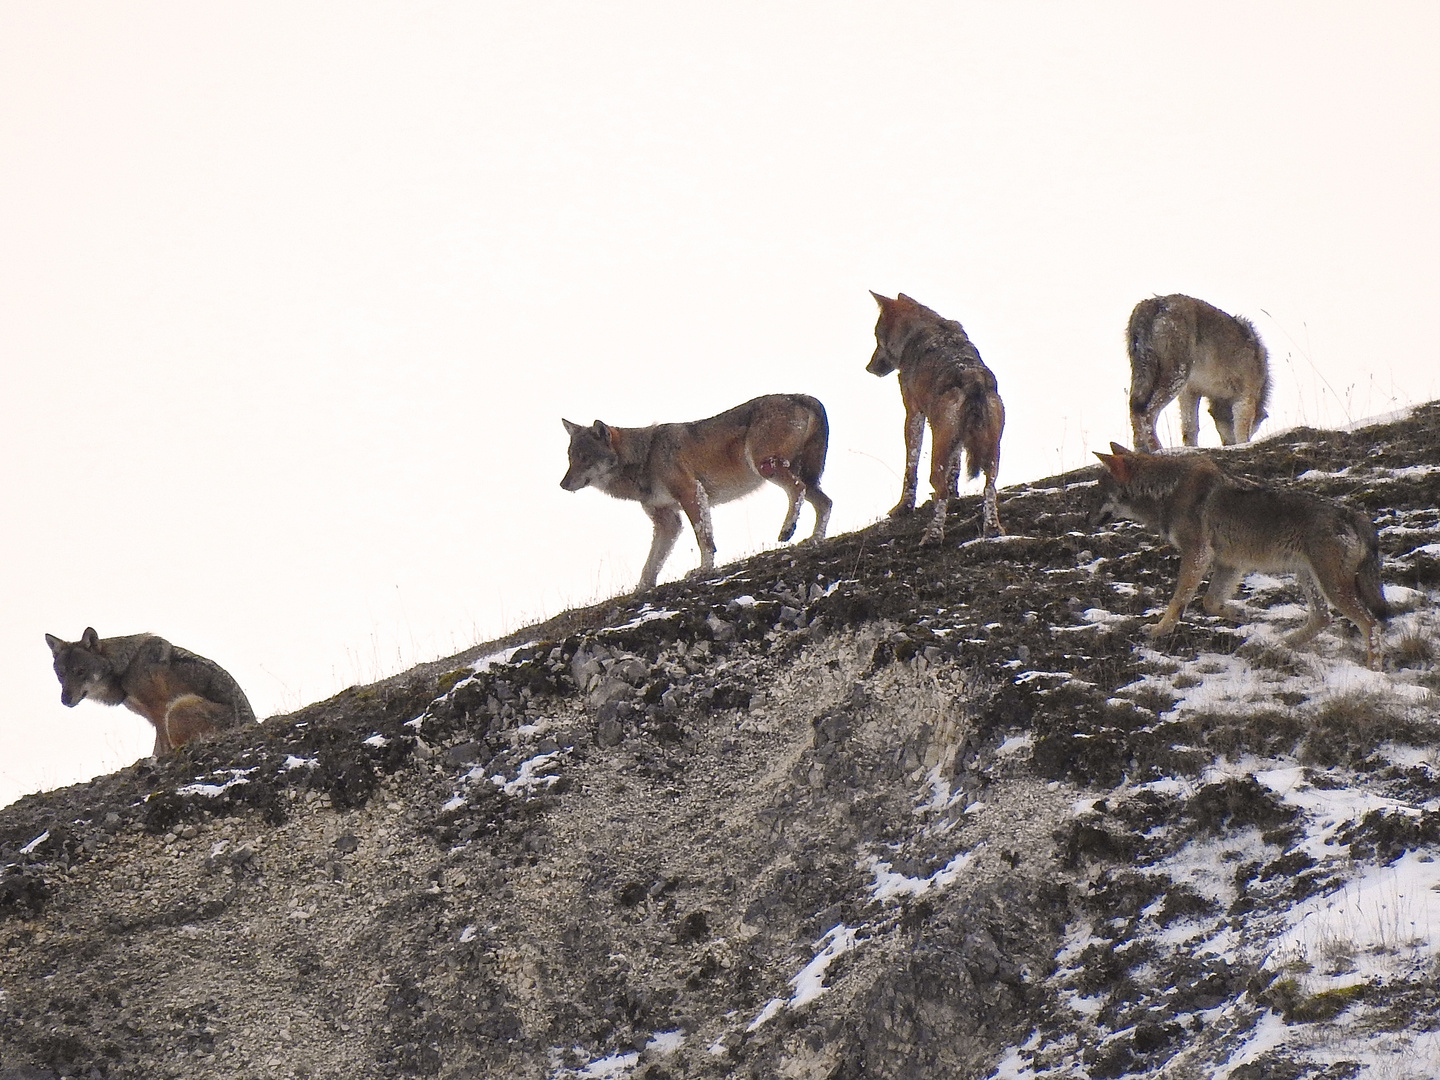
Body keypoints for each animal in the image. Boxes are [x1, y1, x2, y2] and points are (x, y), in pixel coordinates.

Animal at [42, 630, 256, 754]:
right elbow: (156, 748)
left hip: (177, 708)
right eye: (61, 674)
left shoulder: (160, 709)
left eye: (80, 671)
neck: (127, 666)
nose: (65, 699)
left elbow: (163, 748)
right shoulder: (153, 718)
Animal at [558, 394, 835, 593]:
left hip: (767, 467)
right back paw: (814, 539)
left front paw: (703, 571)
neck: (646, 456)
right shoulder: (667, 521)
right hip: (801, 476)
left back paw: (788, 530)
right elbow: (651, 563)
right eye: (571, 458)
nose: (562, 484)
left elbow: (705, 539)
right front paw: (641, 589)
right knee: (826, 502)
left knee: (798, 490)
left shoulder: (691, 493)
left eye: (585, 457)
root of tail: (803, 396)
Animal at [864, 292, 1002, 544]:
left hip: (939, 448)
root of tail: (973, 379)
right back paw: (993, 530)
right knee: (990, 487)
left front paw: (903, 507)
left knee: (939, 489)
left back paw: (932, 537)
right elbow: (955, 468)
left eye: (878, 337)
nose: (869, 367)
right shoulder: (956, 440)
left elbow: (911, 466)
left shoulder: (913, 412)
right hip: (991, 453)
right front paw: (956, 493)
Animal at [1088, 446, 1393, 668]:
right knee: (1322, 618)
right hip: (1307, 576)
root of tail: (1354, 514)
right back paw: (1281, 645)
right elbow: (1211, 602)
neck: (1166, 490)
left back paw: (1372, 671)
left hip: (1332, 585)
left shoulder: (1197, 554)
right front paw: (1240, 613)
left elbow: (1178, 601)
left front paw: (1159, 630)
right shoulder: (1229, 564)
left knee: (1370, 624)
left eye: (1100, 492)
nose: (1086, 519)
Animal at [1123, 293, 1272, 455]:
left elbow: (1190, 428)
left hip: (1144, 377)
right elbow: (1241, 433)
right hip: (1176, 376)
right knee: (1147, 412)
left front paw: (1191, 449)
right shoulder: (1245, 399)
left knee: (1134, 408)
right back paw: (1158, 449)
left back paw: (1140, 450)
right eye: (1254, 430)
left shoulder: (1190, 392)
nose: (1227, 445)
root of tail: (1153, 303)